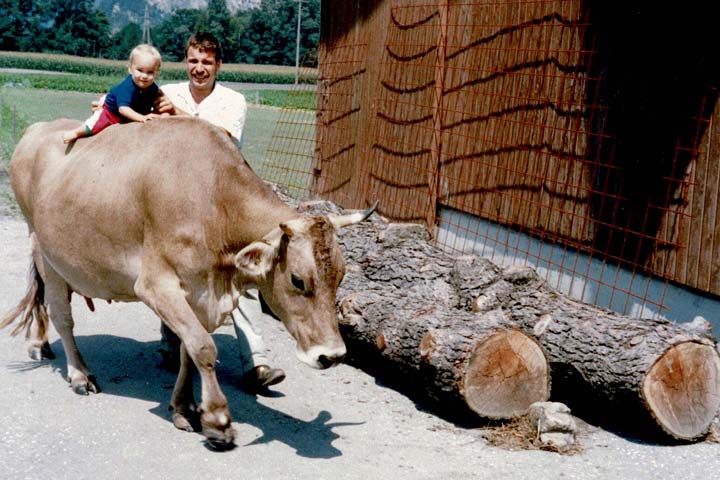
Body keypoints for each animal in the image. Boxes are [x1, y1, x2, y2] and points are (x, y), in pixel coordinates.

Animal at [2, 117, 376, 450]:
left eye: (341, 275)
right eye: (298, 280)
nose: (333, 355)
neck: (215, 202)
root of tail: (37, 129)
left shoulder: (198, 293)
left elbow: (188, 350)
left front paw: (183, 408)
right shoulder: (156, 286)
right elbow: (203, 348)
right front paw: (217, 420)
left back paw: (43, 344)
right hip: (44, 250)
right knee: (61, 314)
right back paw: (79, 373)